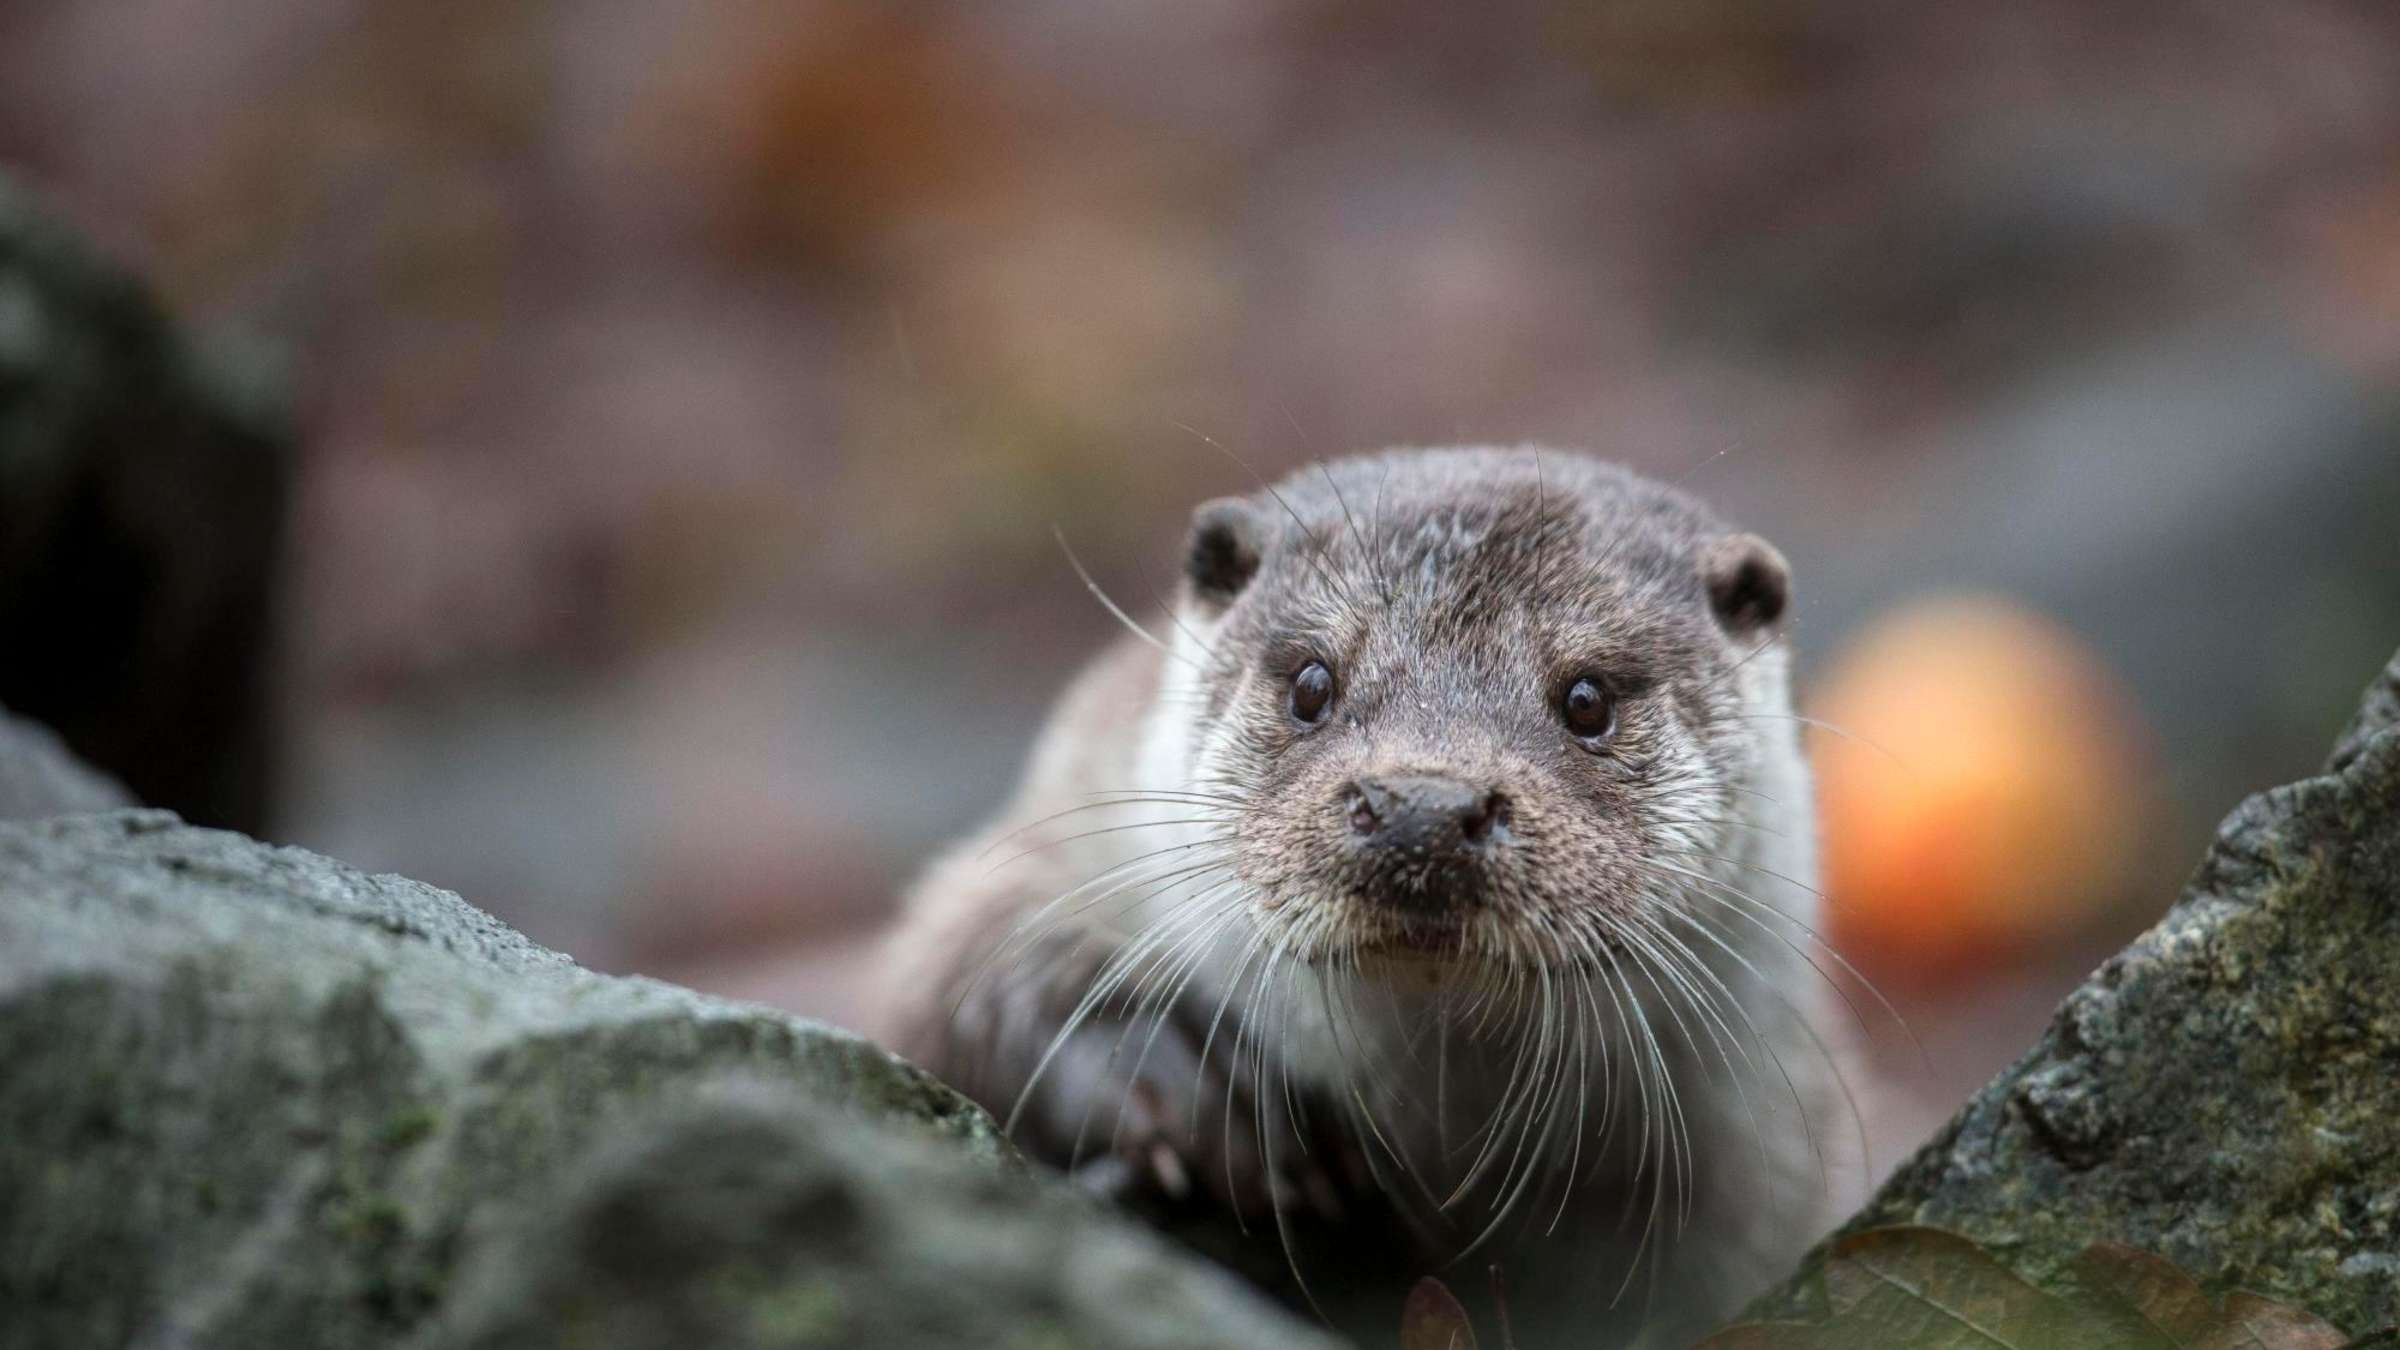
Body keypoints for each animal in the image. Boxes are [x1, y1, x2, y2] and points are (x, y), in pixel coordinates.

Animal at [883, 446, 1852, 1335]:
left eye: (1587, 698)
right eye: (1313, 682)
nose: (1423, 808)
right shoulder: (1049, 848)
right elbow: (962, 985)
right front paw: (1194, 1084)